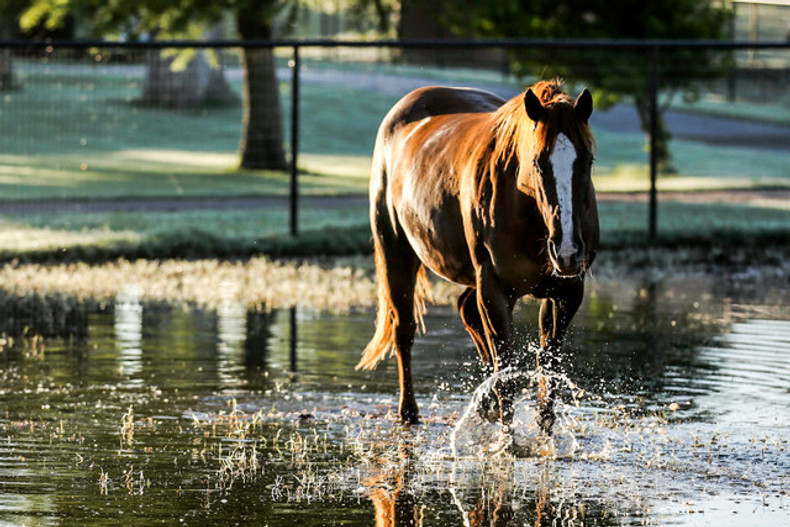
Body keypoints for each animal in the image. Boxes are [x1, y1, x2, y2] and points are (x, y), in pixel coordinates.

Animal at [360, 79, 600, 434]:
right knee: (404, 329)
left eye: (587, 161)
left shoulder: (567, 292)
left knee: (467, 311)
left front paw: (544, 429)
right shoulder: (495, 290)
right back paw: (408, 412)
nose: (568, 249)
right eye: (538, 162)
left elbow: (549, 368)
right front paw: (507, 437)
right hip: (397, 252)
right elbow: (506, 372)